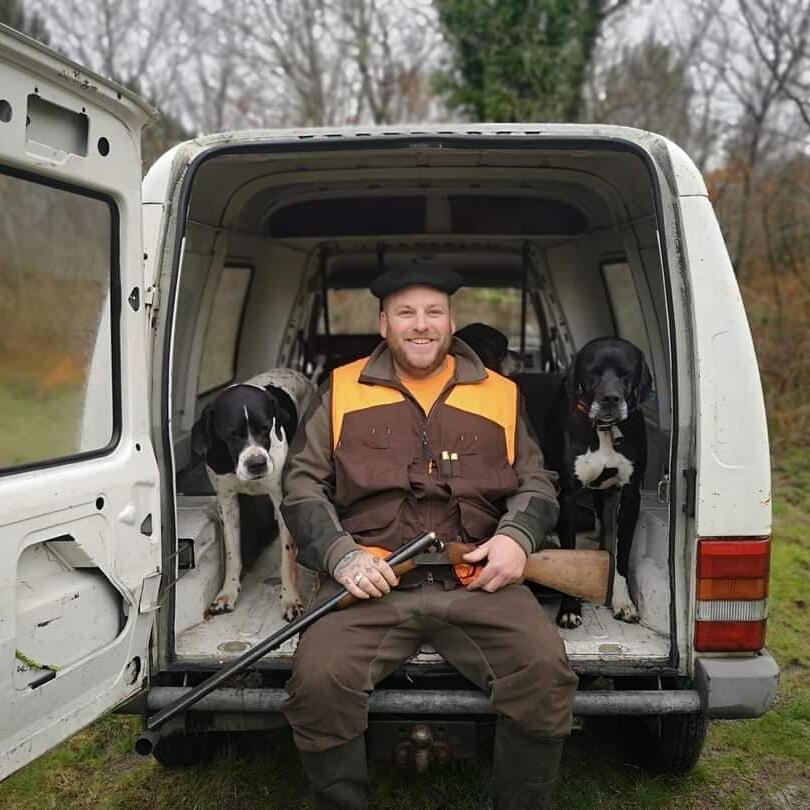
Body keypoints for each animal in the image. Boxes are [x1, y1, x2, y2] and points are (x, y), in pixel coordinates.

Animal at [191, 368, 314, 620]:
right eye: (232, 434)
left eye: (265, 428)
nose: (257, 464)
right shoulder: (227, 502)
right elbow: (232, 553)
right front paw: (227, 593)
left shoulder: (281, 498)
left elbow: (287, 556)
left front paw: (290, 599)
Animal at [544, 338, 652, 628]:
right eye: (593, 372)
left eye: (626, 373)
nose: (610, 399)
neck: (605, 430)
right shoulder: (568, 497)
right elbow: (569, 555)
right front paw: (570, 609)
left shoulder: (630, 497)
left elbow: (621, 556)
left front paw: (623, 601)